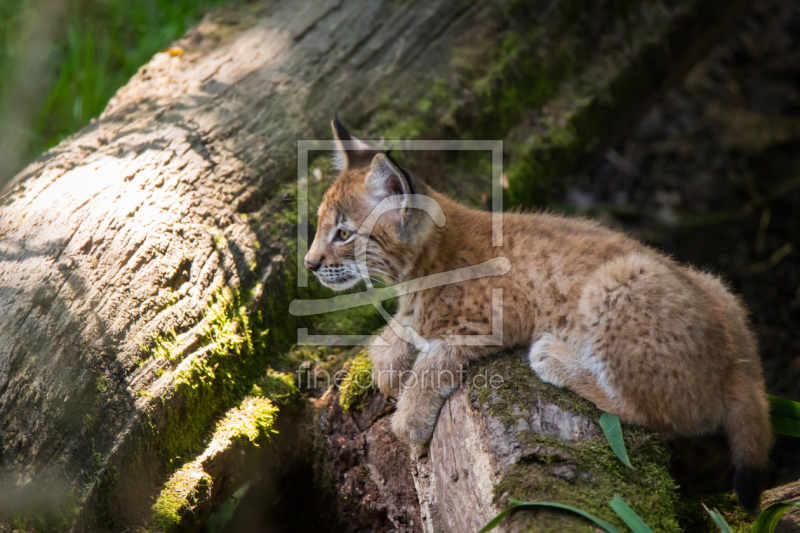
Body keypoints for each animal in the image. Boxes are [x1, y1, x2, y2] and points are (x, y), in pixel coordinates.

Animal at [304, 117, 772, 512]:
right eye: (320, 226)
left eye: (343, 234)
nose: (309, 264)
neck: (424, 263)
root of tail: (739, 365)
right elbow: (398, 336)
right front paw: (390, 362)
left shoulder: (497, 316)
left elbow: (436, 354)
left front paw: (410, 418)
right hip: (716, 285)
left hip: (616, 280)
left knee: (655, 415)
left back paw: (556, 359)